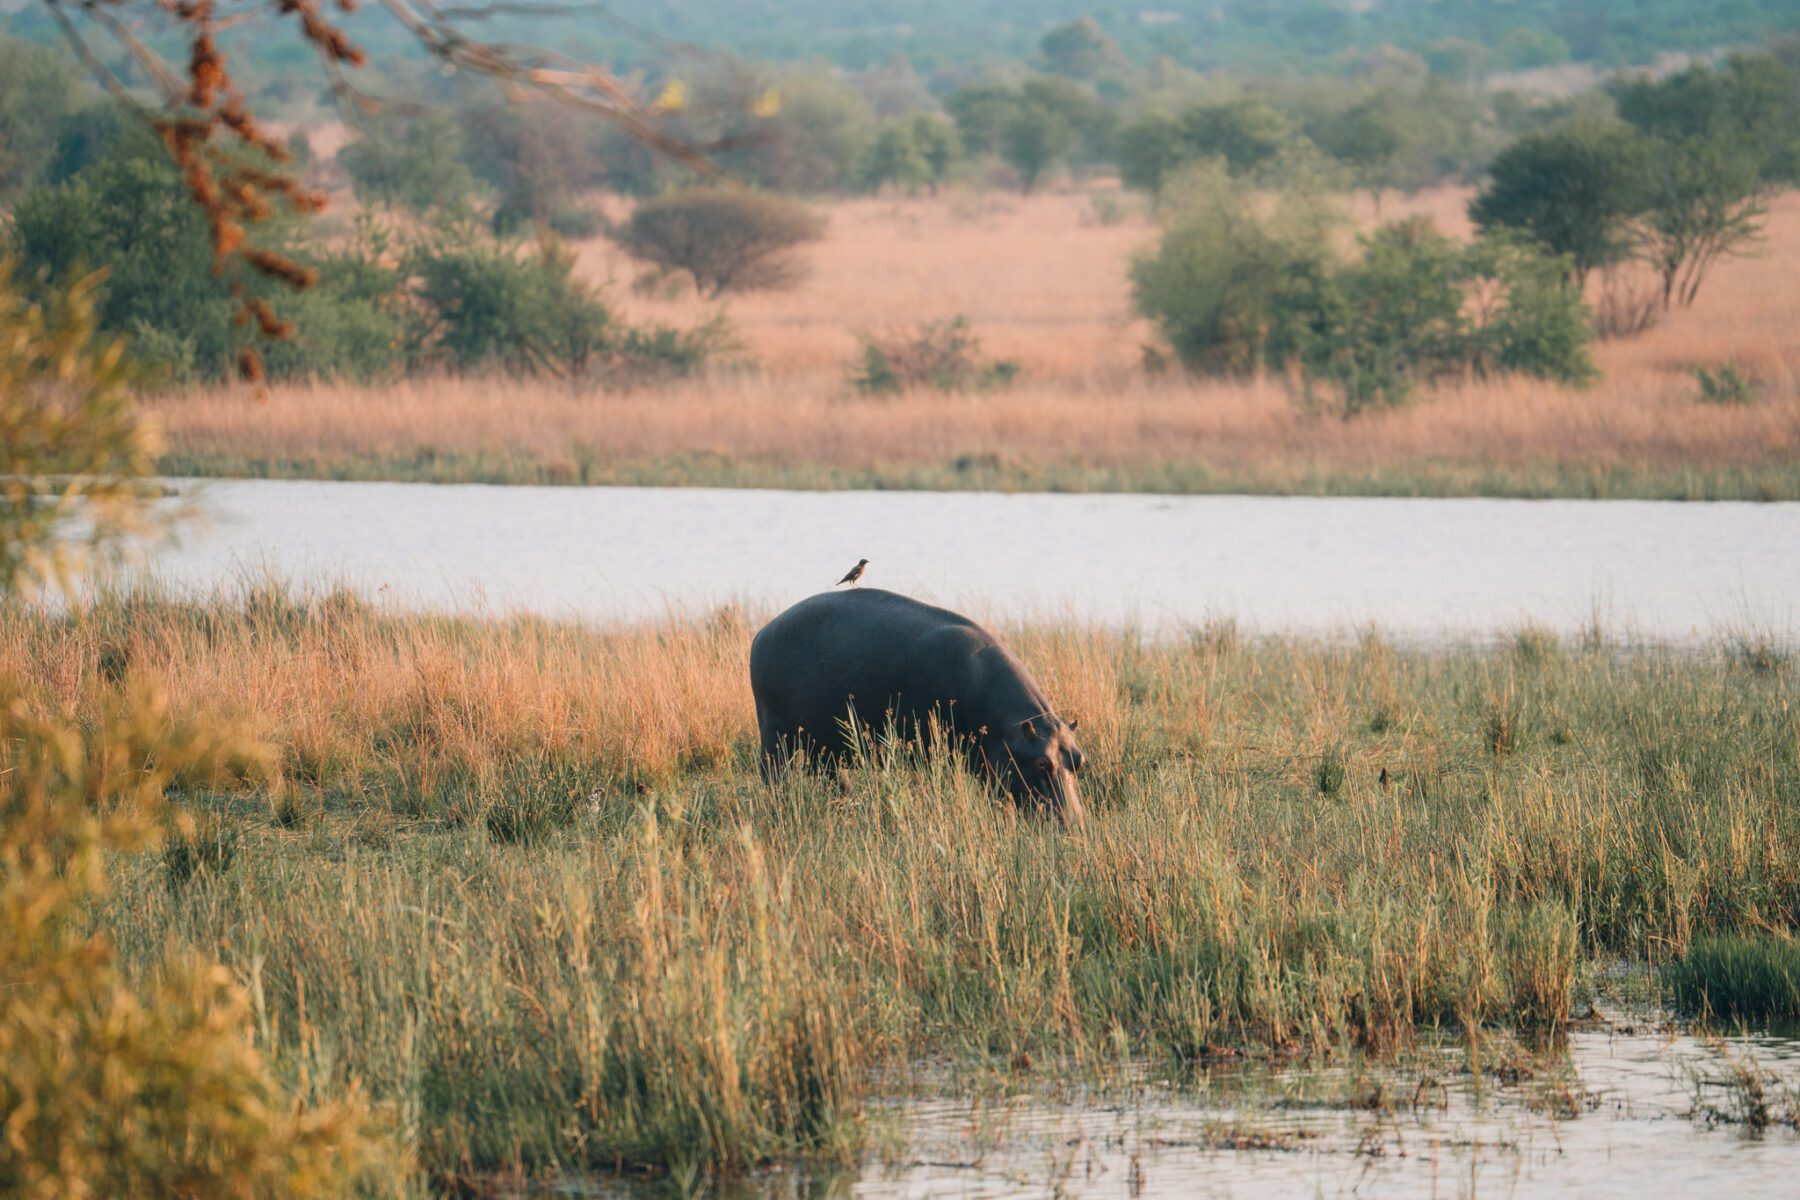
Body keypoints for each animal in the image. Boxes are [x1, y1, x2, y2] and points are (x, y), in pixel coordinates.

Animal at [745, 590, 1080, 827]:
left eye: (1080, 760)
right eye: (1041, 763)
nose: (1075, 825)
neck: (1008, 731)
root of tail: (763, 631)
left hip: (825, 744)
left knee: (833, 778)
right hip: (774, 735)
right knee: (772, 775)